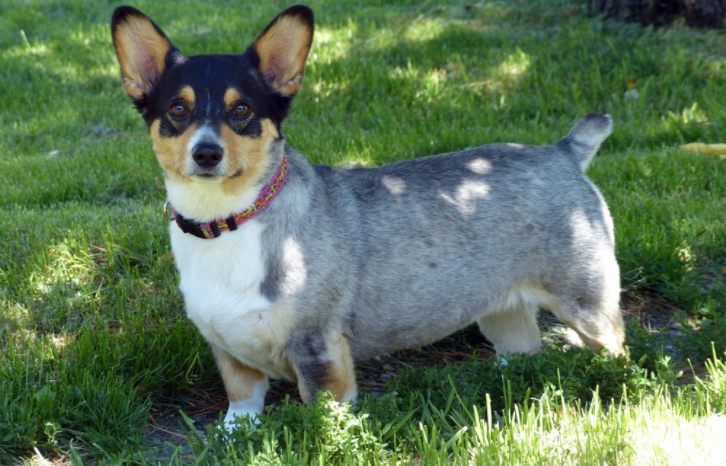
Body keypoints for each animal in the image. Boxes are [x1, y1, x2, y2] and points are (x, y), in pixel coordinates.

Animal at [112, 3, 624, 432]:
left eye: (241, 110)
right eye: (177, 109)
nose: (206, 153)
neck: (226, 221)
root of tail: (565, 152)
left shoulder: (319, 348)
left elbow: (324, 418)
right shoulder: (229, 353)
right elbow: (242, 401)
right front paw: (234, 435)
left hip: (585, 301)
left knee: (615, 345)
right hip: (502, 310)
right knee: (522, 349)